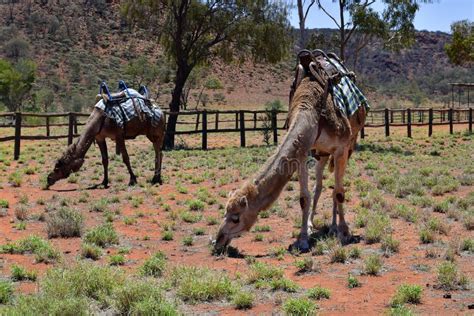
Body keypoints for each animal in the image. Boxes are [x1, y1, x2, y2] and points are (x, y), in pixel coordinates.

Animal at [214, 78, 366, 253]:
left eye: (236, 218)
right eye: (224, 213)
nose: (218, 240)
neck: (313, 114)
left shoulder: (341, 148)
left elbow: (339, 192)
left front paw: (345, 232)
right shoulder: (302, 152)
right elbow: (304, 198)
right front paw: (303, 238)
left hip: (349, 146)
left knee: (336, 187)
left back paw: (335, 227)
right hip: (322, 154)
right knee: (319, 186)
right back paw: (313, 224)